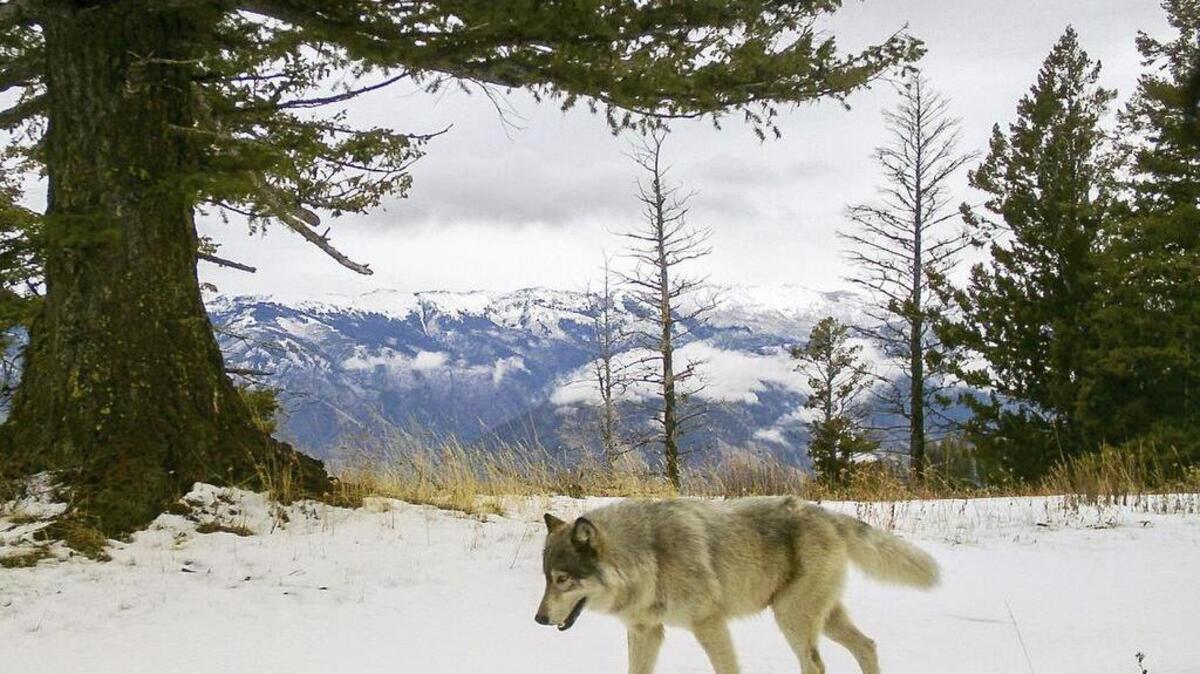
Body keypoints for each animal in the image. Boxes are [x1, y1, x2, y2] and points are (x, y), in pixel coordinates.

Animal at [534, 496, 939, 674]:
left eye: (562, 580)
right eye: (546, 579)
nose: (538, 619)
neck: (650, 557)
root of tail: (826, 513)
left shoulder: (709, 625)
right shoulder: (645, 630)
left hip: (791, 620)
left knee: (816, 665)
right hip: (822, 619)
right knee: (867, 646)